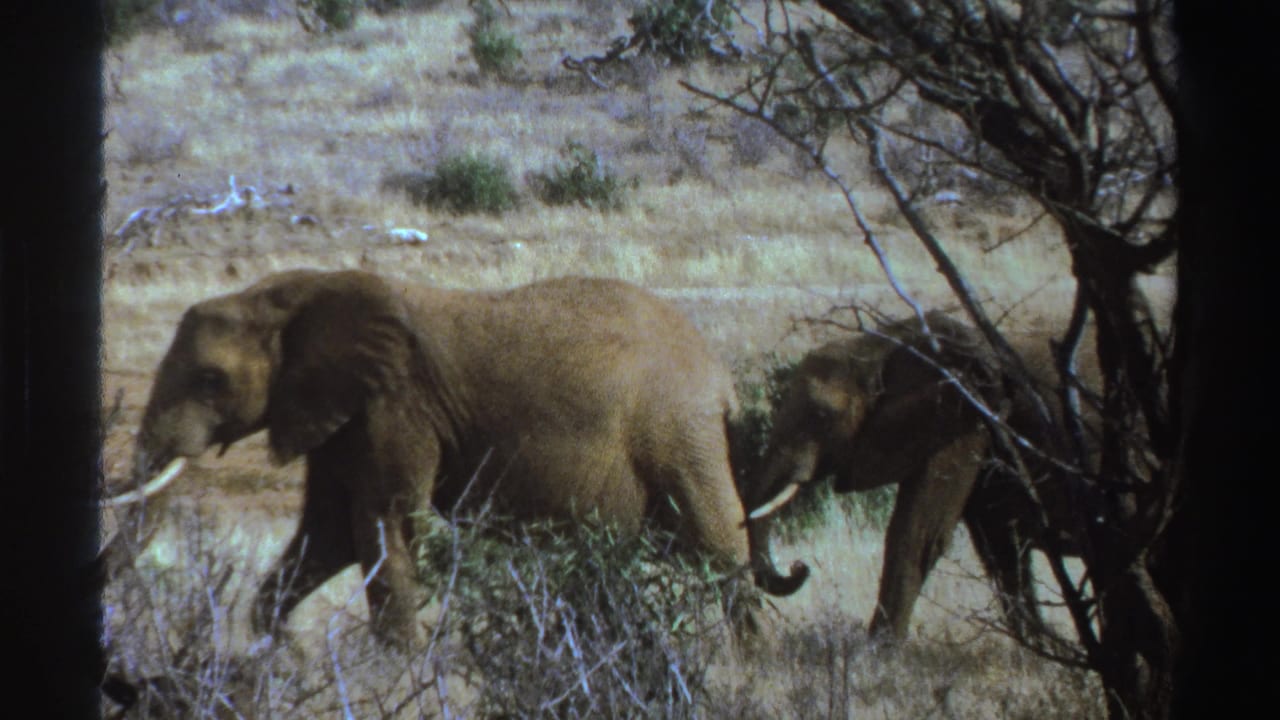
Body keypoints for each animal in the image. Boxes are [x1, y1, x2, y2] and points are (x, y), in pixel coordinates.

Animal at [111, 269, 809, 649]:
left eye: (210, 380)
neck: (296, 292)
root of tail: (720, 378)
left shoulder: (397, 405)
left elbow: (387, 524)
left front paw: (396, 668)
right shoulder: (344, 416)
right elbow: (328, 534)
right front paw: (282, 654)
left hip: (680, 436)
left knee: (719, 548)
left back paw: (746, 662)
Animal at [745, 310, 1088, 642]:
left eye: (822, 416)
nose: (799, 566)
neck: (881, 344)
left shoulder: (960, 420)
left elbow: (919, 533)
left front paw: (878, 651)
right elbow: (1000, 548)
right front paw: (1044, 647)